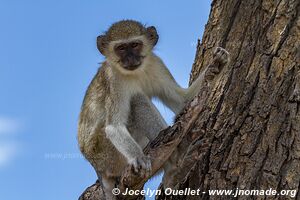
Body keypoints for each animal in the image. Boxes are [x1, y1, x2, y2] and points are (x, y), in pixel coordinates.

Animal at [78, 19, 230, 199]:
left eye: (135, 45)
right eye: (121, 48)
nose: (130, 59)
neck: (135, 73)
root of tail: (97, 168)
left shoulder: (157, 63)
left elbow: (183, 101)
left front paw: (215, 68)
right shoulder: (112, 78)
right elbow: (114, 127)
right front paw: (138, 158)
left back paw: (175, 168)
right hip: (108, 156)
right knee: (137, 100)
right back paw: (177, 159)